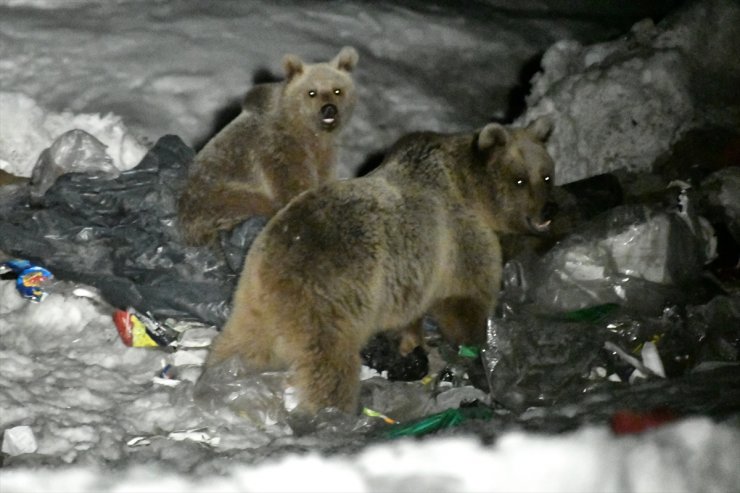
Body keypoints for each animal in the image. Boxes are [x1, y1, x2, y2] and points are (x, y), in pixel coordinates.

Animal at [179, 45, 358, 244]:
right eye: (312, 92)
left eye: (337, 90)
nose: (329, 109)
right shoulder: (279, 149)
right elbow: (294, 187)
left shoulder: (325, 151)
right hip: (225, 196)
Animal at [202, 117, 556, 414]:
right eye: (520, 180)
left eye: (547, 175)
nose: (546, 213)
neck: (468, 189)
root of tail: (278, 260)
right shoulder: (460, 239)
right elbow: (466, 300)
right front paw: (478, 351)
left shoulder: (413, 276)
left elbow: (412, 315)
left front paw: (413, 346)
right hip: (331, 297)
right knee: (330, 363)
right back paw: (331, 412)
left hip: (252, 296)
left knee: (239, 339)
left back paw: (217, 377)